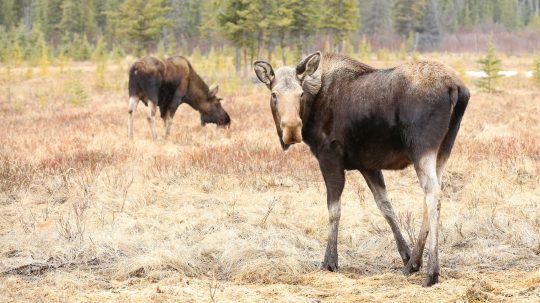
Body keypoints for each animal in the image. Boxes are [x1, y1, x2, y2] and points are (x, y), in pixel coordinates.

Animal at [253, 52, 468, 288]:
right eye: (274, 94)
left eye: (300, 94)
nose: (292, 129)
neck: (311, 111)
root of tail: (456, 88)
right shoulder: (368, 165)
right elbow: (385, 206)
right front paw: (406, 254)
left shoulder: (330, 157)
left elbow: (334, 210)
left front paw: (330, 261)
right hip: (444, 148)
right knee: (432, 195)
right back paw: (413, 263)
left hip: (421, 146)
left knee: (432, 194)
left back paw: (432, 272)